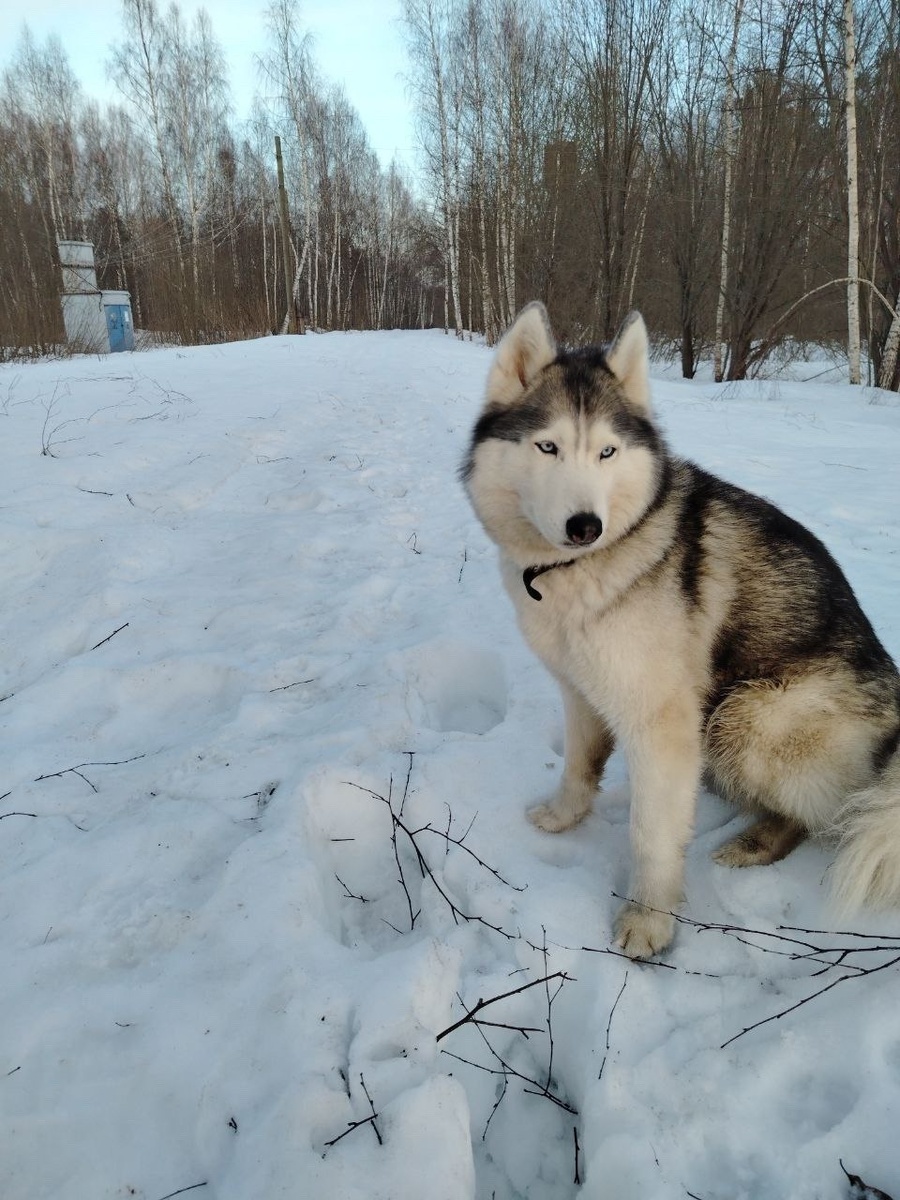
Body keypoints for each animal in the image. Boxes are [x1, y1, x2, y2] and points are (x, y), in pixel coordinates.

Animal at [461, 302, 900, 958]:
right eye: (548, 446)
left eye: (608, 453)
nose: (586, 525)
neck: (584, 568)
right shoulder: (581, 689)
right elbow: (579, 766)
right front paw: (564, 818)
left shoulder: (661, 724)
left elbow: (652, 833)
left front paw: (649, 920)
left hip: (743, 718)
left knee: (832, 815)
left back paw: (758, 841)